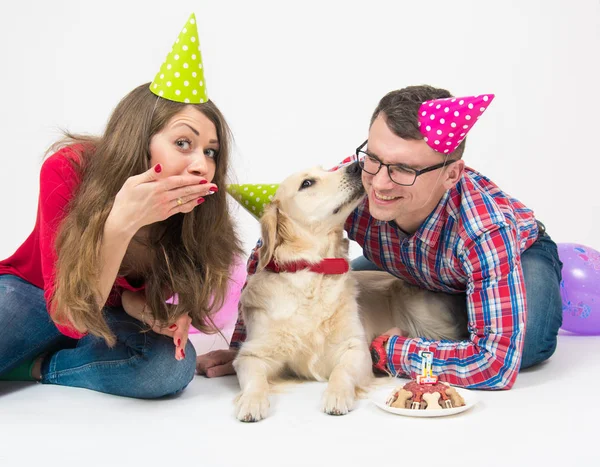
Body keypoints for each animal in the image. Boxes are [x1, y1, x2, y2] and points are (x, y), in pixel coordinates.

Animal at [232, 163, 466, 422]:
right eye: (307, 183)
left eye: (326, 169)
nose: (357, 166)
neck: (314, 272)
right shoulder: (250, 355)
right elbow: (255, 380)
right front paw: (252, 401)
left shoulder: (356, 349)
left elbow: (341, 372)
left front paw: (336, 395)